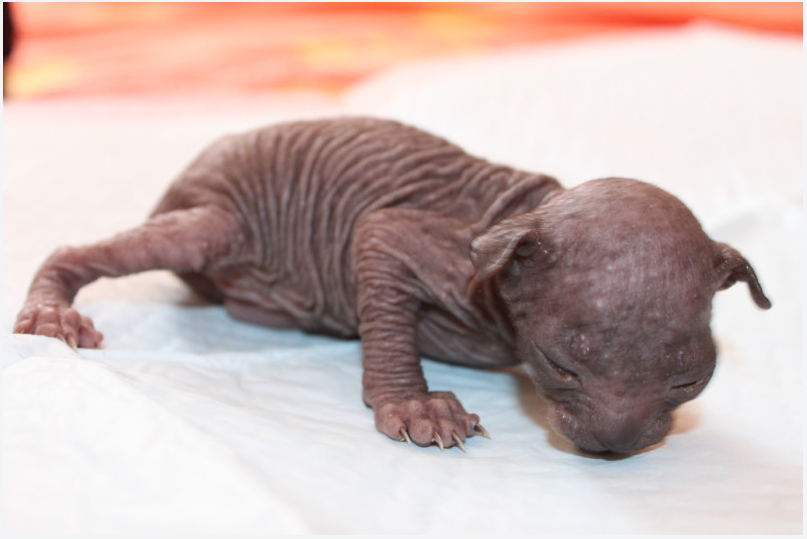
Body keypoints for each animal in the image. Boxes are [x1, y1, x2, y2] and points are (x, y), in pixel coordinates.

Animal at [14, 117, 771, 453]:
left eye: (689, 381)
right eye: (561, 365)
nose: (613, 447)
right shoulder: (412, 244)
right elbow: (381, 267)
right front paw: (415, 405)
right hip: (216, 221)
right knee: (89, 247)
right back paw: (53, 311)